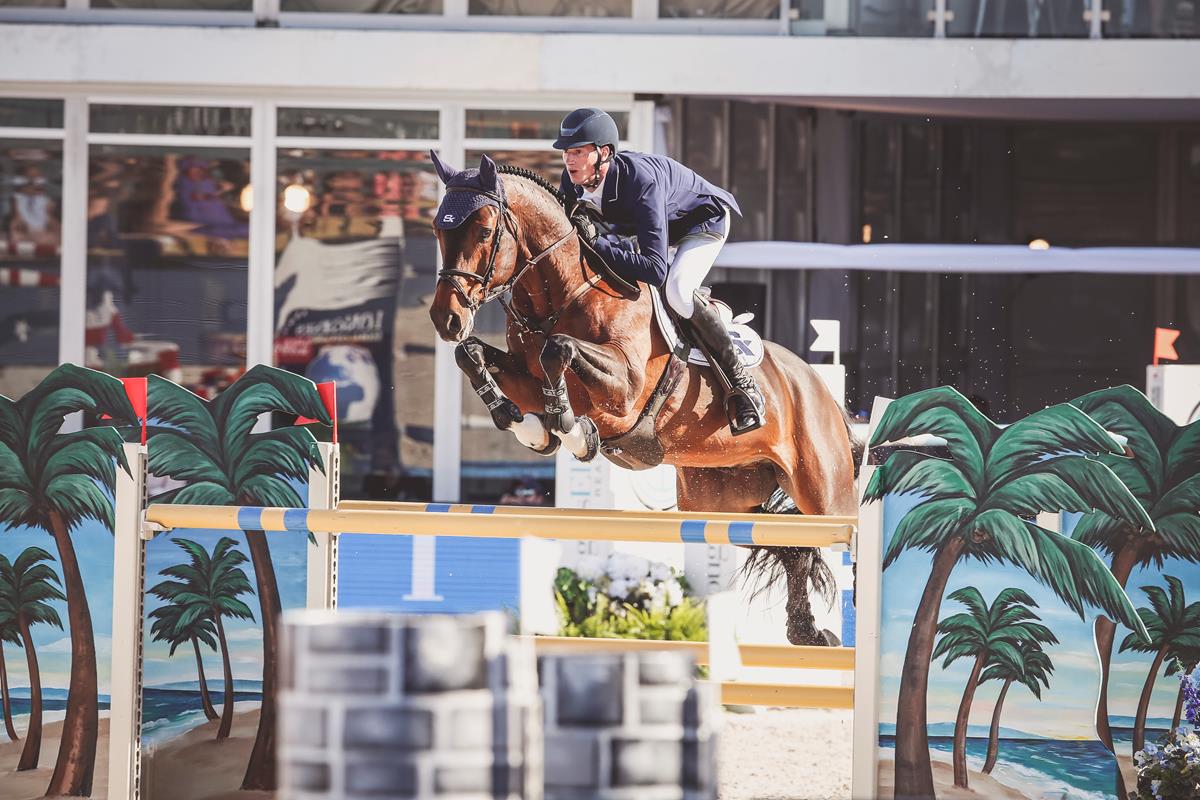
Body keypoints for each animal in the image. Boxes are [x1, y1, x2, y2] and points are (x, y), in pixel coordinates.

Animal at [427, 153, 859, 647]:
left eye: (483, 231)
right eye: (438, 231)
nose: (445, 319)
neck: (564, 294)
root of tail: (820, 388)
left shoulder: (626, 388)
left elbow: (558, 349)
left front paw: (571, 431)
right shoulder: (526, 377)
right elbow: (471, 355)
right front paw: (532, 428)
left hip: (825, 495)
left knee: (839, 536)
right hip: (723, 506)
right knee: (794, 547)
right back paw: (808, 633)